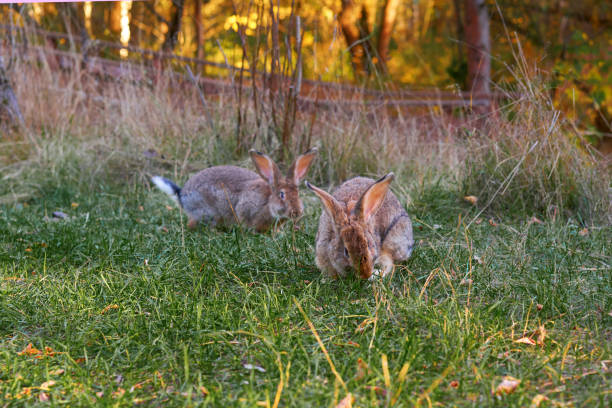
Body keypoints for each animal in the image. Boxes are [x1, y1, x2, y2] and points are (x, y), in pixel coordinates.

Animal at [151, 149, 318, 233]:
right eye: (282, 194)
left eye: (298, 194)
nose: (297, 212)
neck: (268, 202)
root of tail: (182, 195)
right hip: (208, 212)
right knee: (193, 224)